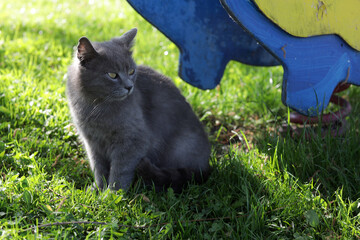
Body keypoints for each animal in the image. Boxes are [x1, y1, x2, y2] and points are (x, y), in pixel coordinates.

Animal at [67, 28, 211, 193]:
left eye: (131, 71)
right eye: (112, 75)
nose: (129, 87)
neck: (95, 105)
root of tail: (206, 166)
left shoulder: (133, 141)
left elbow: (120, 171)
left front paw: (112, 194)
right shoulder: (92, 142)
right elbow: (98, 168)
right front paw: (98, 189)